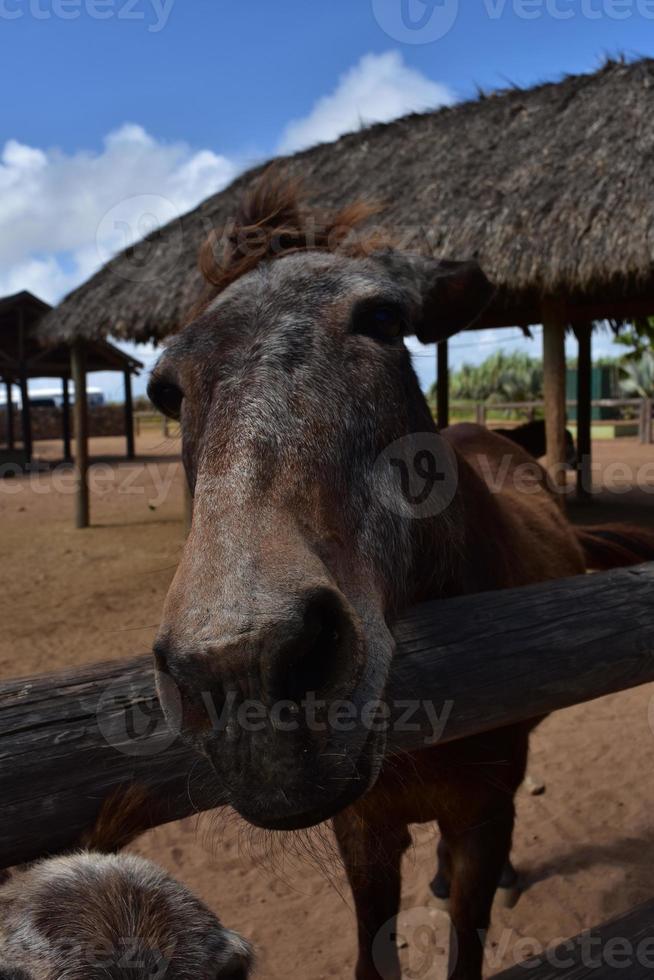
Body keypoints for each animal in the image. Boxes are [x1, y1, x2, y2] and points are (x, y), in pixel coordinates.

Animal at [149, 176, 654, 980]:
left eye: (384, 319)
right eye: (165, 391)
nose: (243, 666)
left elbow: (467, 938)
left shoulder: (484, 813)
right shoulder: (363, 830)